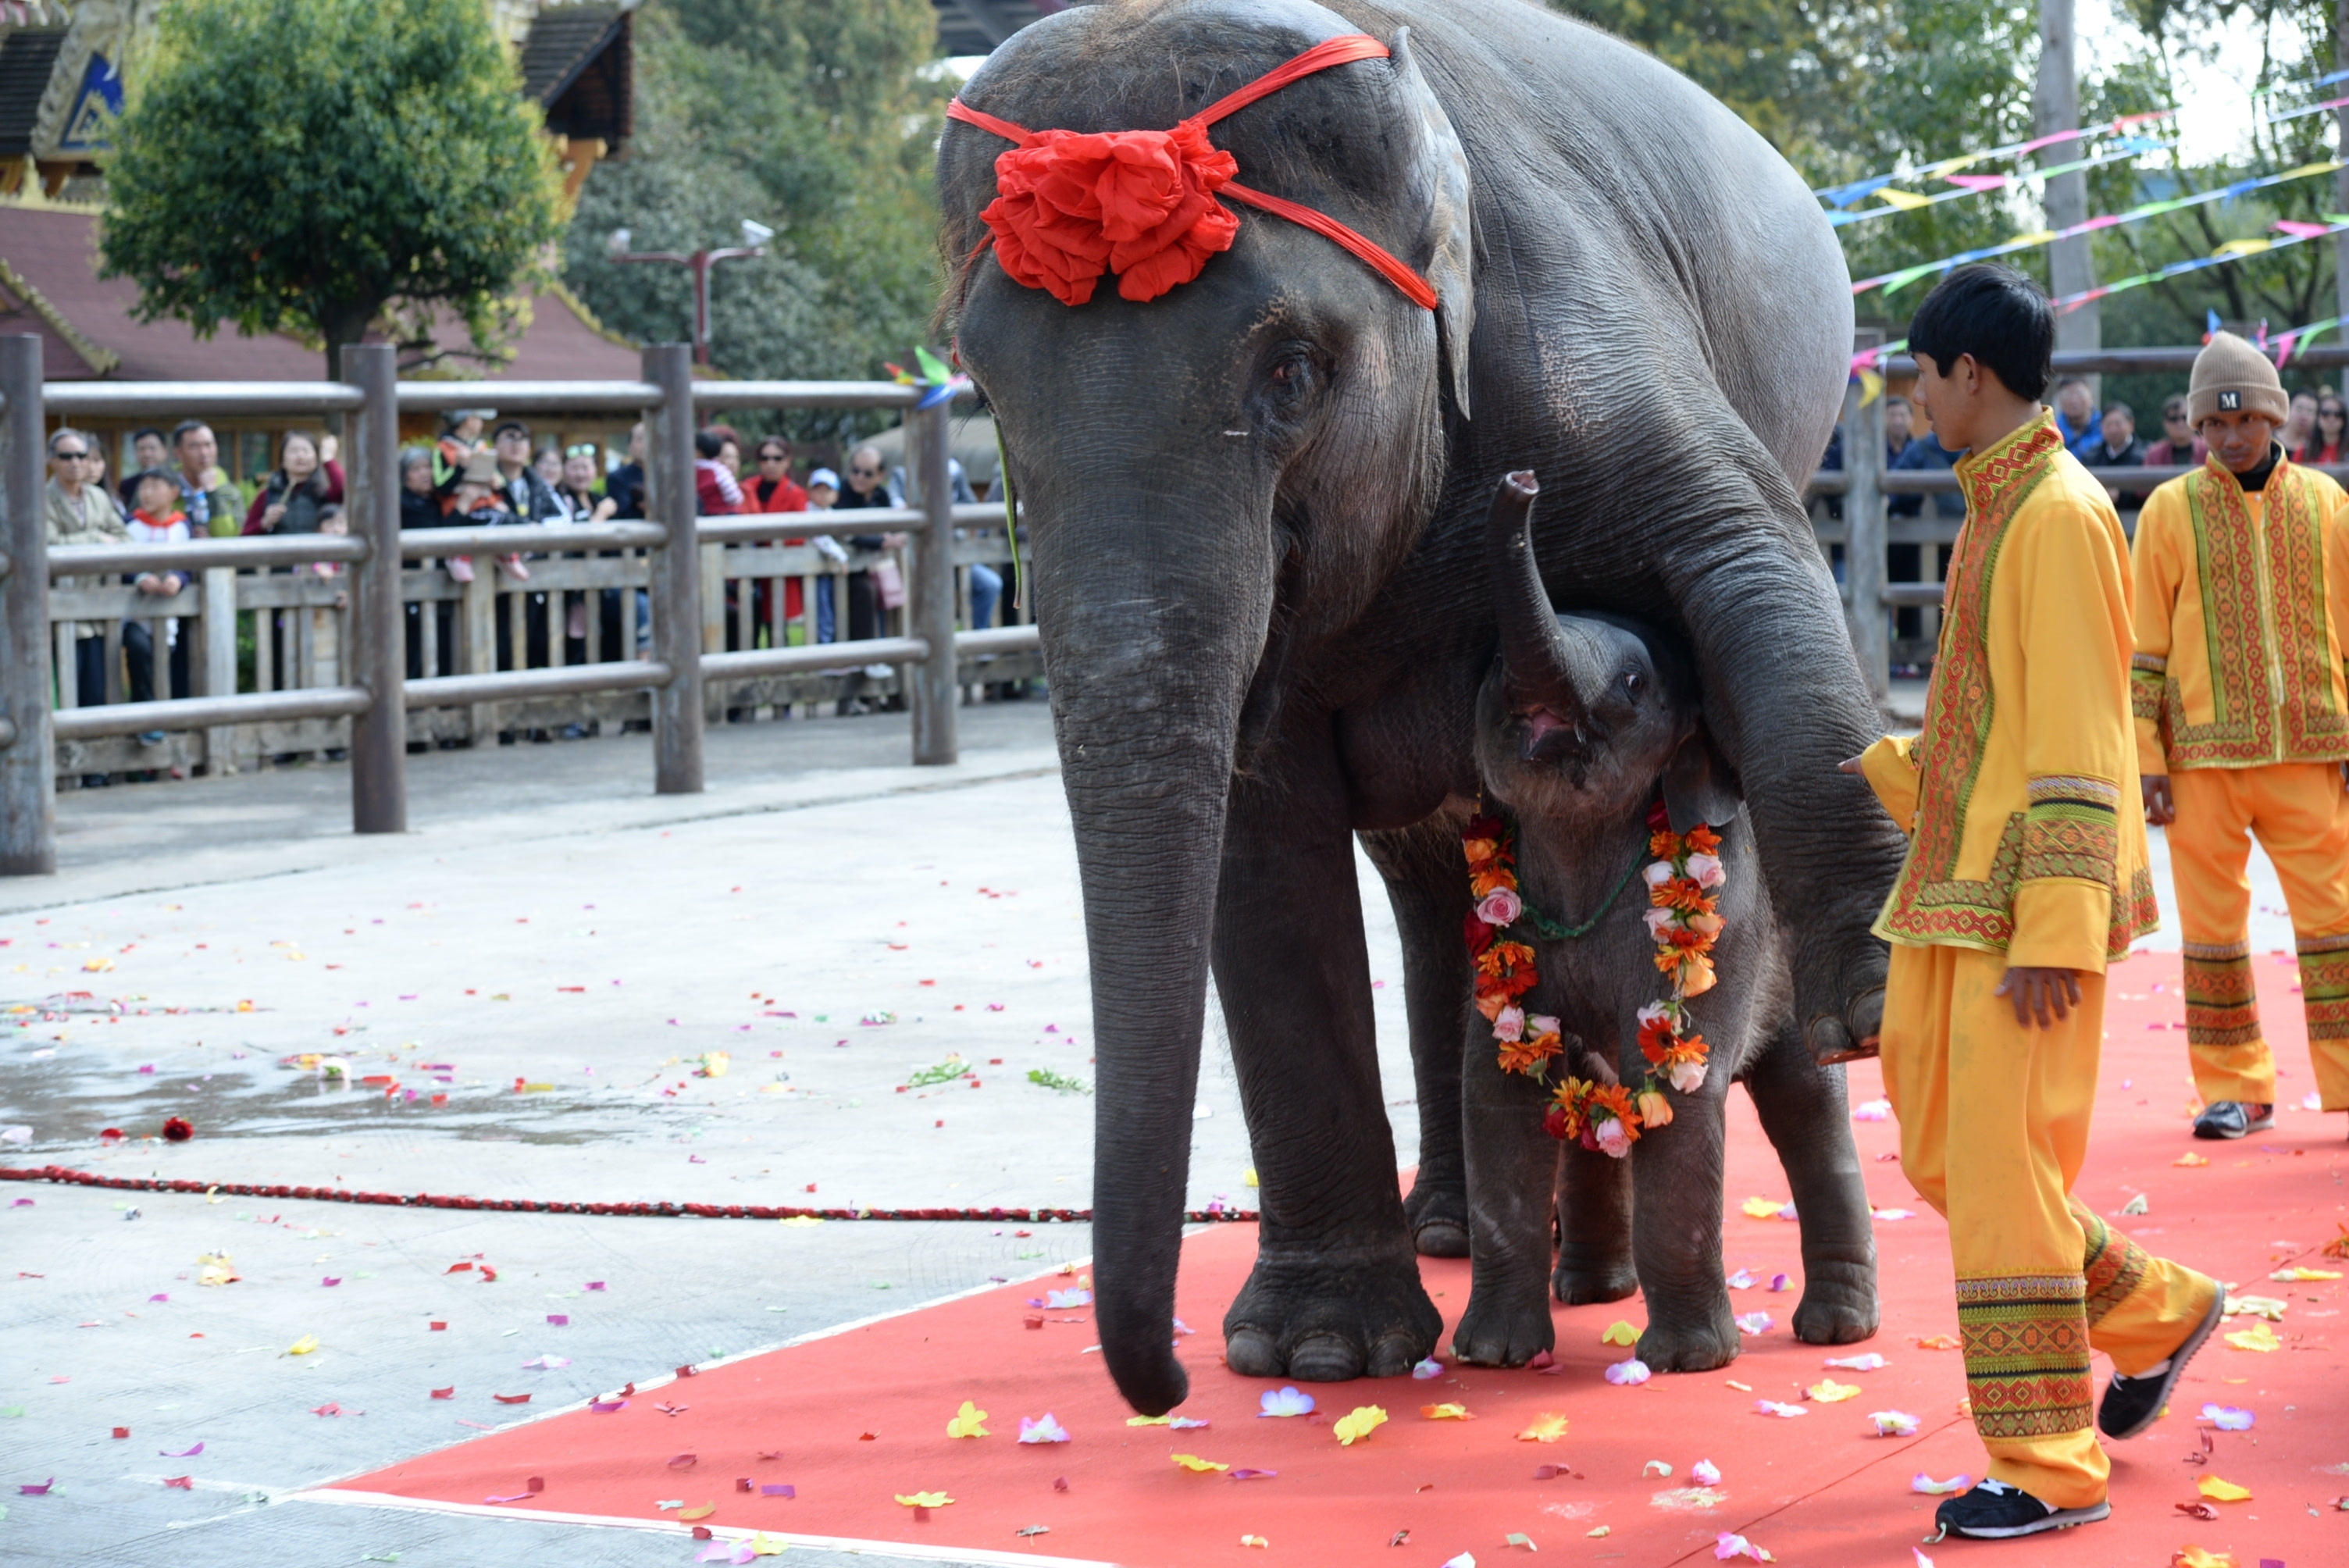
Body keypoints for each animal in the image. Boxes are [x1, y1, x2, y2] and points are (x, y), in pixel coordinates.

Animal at [1437, 469, 1879, 1370]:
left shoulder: (1730, 927)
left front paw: (1684, 1362)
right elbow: (1496, 1087)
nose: (1521, 480)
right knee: (1589, 1097)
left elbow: (1679, 1089)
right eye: (1493, 667)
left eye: (1635, 685)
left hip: (1788, 986)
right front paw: (1493, 1355)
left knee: (1807, 1107)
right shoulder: (1498, 930)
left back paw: (1837, 1330)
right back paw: (1592, 1291)